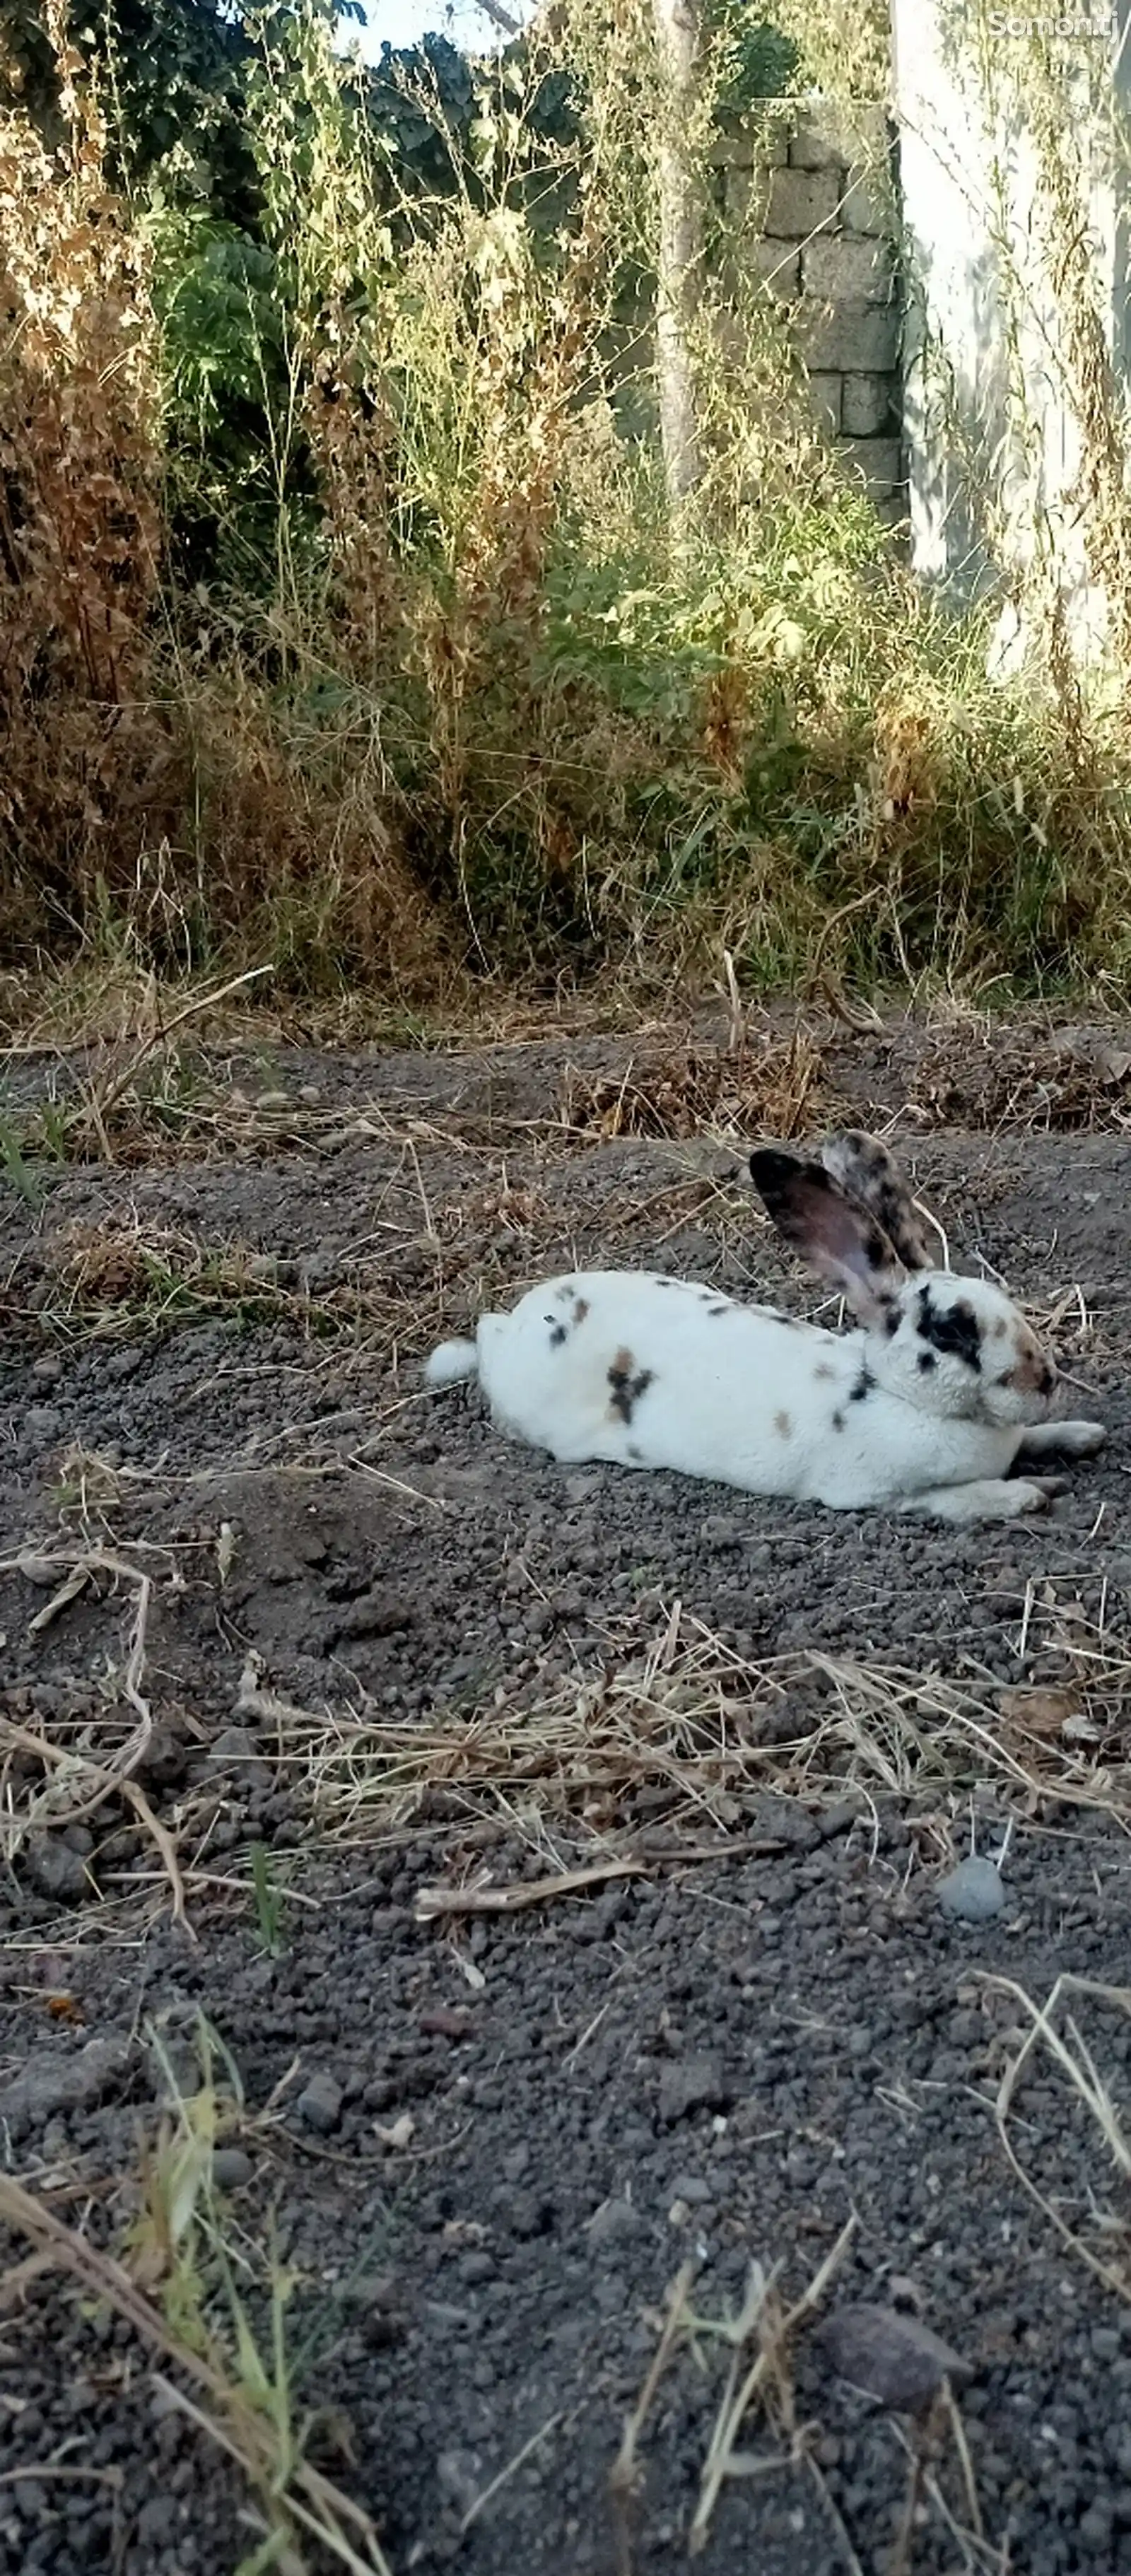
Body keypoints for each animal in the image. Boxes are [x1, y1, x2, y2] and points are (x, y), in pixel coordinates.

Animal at [425, 1123, 1108, 1514]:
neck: (892, 1394)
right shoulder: (877, 1494)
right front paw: (1029, 1494)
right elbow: (959, 1500)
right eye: (951, 1330)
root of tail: (513, 1326)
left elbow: (1038, 1441)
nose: (1045, 1381)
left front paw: (1081, 1436)